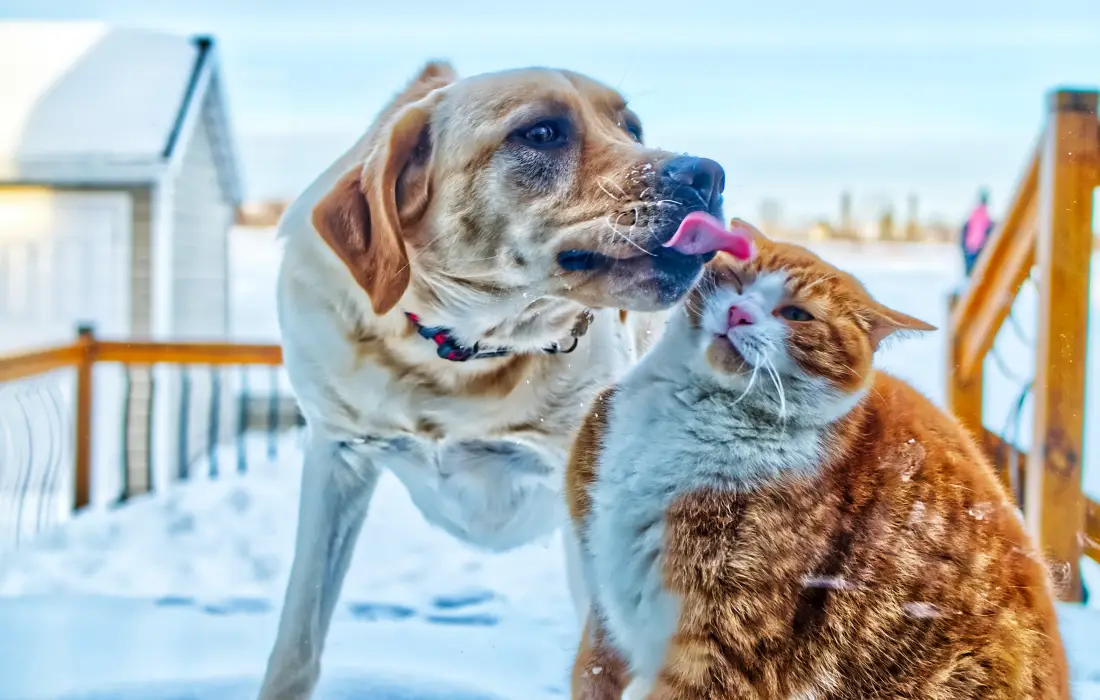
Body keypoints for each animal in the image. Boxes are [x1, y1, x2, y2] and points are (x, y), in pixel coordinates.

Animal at [253, 61, 726, 700]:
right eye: (542, 133)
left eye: (632, 128)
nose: (709, 175)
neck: (462, 355)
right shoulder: (337, 456)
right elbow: (298, 641)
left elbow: (600, 666)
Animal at [567, 226, 1064, 695]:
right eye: (737, 279)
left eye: (796, 315)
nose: (739, 313)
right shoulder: (603, 619)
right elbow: (592, 673)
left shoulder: (724, 645)